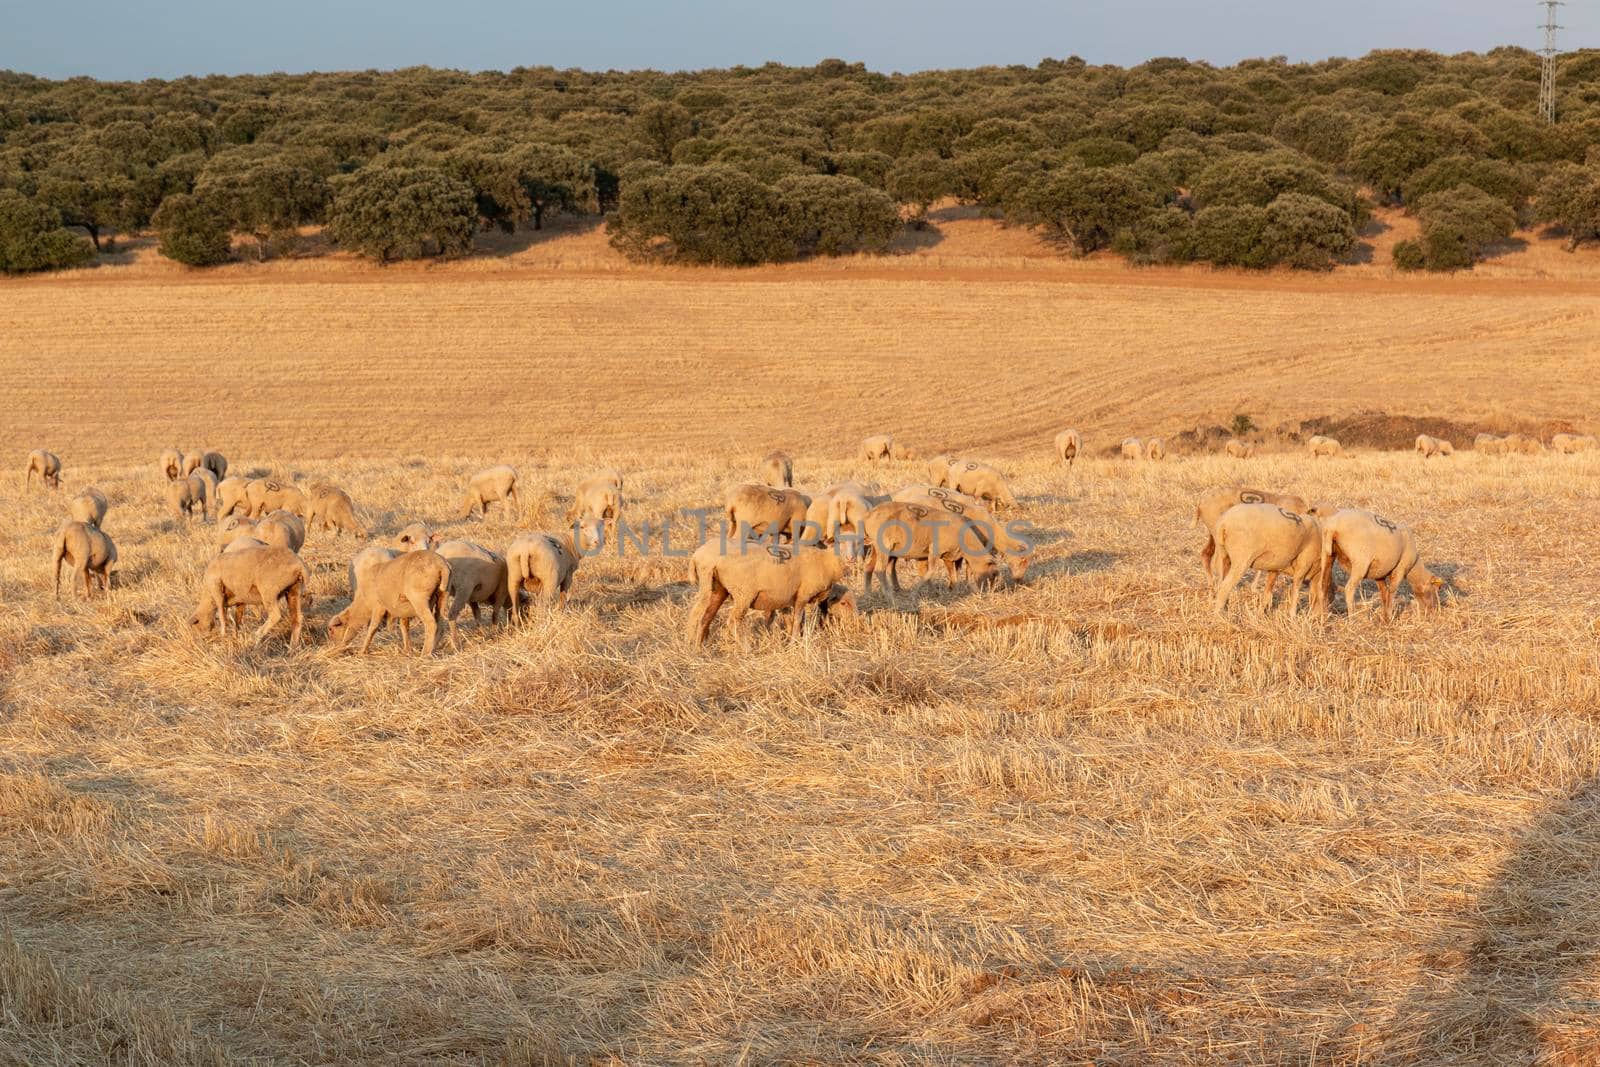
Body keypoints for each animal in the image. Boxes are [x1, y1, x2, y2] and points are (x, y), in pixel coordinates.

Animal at [688, 537, 864, 646]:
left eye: (858, 543)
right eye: (844, 603)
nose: (857, 622)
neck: (826, 562)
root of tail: (697, 555)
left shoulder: (786, 597)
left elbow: (790, 620)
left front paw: (791, 639)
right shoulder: (802, 595)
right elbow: (798, 619)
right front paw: (794, 643)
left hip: (716, 589)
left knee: (703, 616)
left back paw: (696, 647)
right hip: (743, 594)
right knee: (732, 621)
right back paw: (747, 649)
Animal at [1318, 511, 1446, 620]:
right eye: (1437, 589)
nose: (1435, 610)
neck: (1413, 569)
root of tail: (1333, 527)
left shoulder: (1379, 573)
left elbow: (1384, 592)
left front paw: (1384, 616)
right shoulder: (1400, 569)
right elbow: (1392, 591)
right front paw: (1389, 618)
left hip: (1326, 555)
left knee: (1323, 585)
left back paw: (1323, 617)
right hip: (1360, 561)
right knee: (1349, 589)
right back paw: (1352, 618)